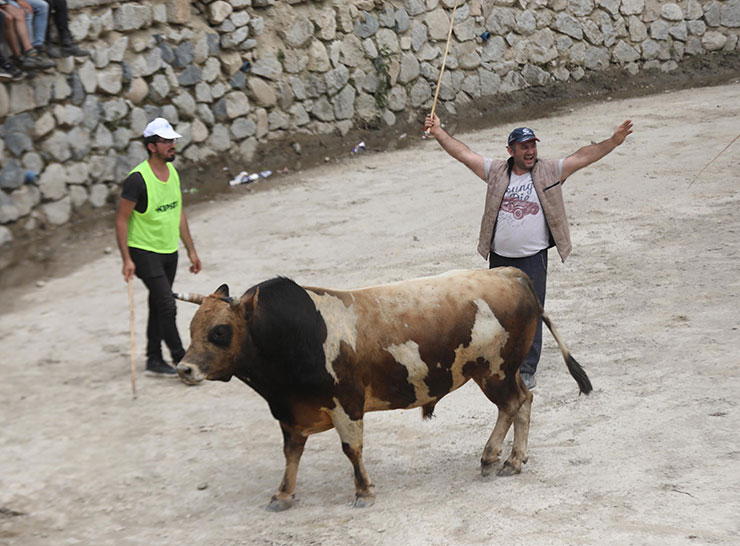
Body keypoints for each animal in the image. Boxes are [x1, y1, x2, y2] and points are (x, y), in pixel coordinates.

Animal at [174, 268, 592, 511]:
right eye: (192, 328)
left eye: (220, 332)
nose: (183, 368)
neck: (290, 334)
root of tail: (510, 274)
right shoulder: (291, 412)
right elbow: (292, 453)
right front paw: (283, 494)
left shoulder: (346, 404)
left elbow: (351, 449)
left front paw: (363, 492)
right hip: (501, 372)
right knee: (523, 402)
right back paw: (510, 458)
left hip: (494, 372)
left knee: (514, 403)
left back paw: (498, 458)